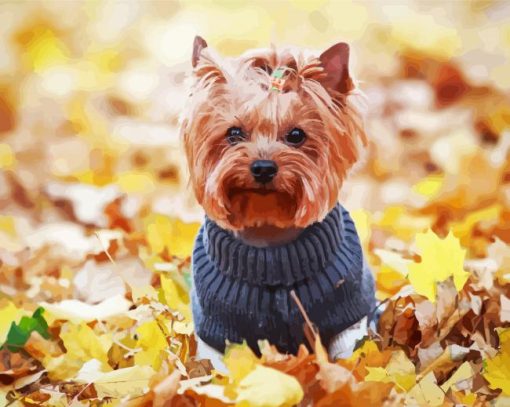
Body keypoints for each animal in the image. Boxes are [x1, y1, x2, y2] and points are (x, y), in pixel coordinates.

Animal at [181, 36, 376, 372]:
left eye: (296, 135)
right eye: (234, 133)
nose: (263, 167)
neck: (269, 236)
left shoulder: (346, 318)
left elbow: (348, 356)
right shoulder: (218, 331)